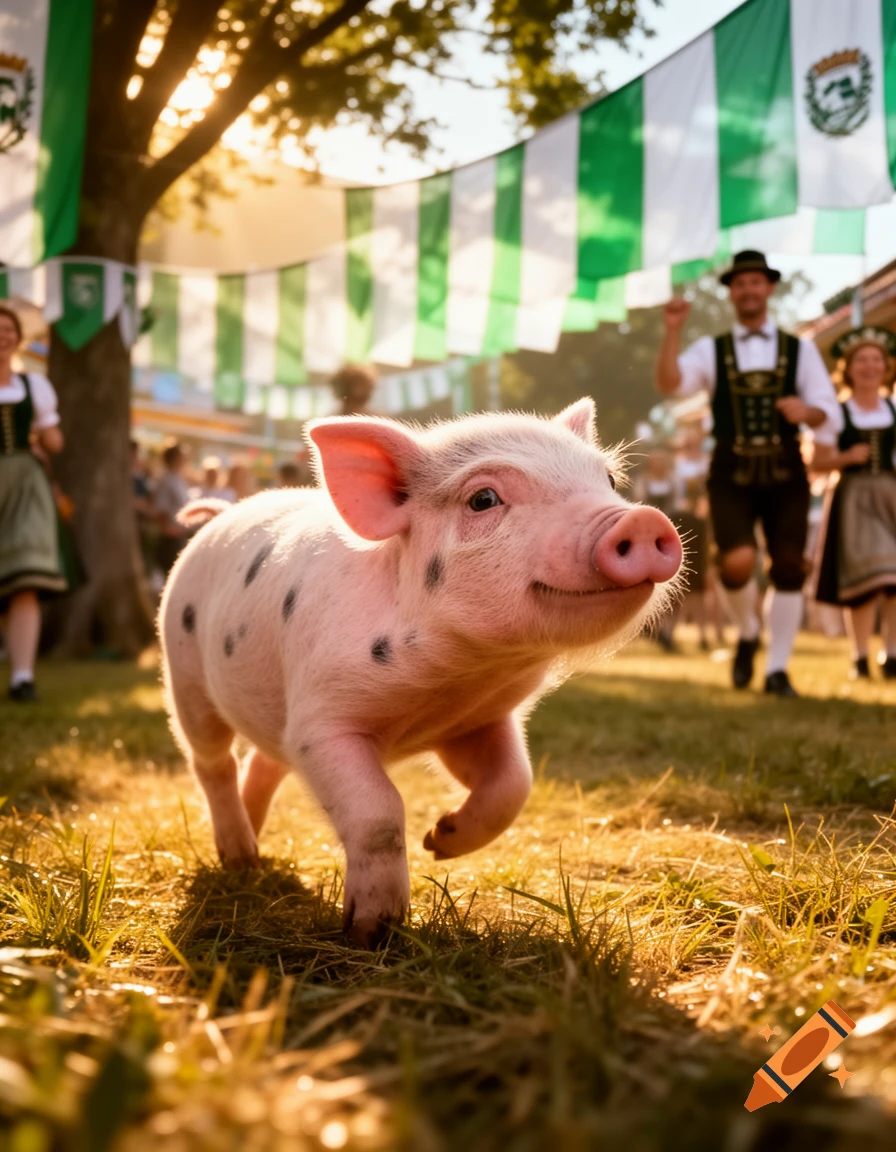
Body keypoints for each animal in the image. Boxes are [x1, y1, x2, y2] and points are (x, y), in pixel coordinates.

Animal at [158, 399, 682, 946]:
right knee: (213, 762)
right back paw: (239, 859)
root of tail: (220, 515)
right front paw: (373, 931)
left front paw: (440, 840)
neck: (452, 681)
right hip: (185, 673)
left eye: (608, 479)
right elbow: (379, 812)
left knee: (264, 762)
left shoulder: (476, 720)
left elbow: (515, 783)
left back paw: (256, 853)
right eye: (483, 499)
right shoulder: (319, 724)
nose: (642, 520)